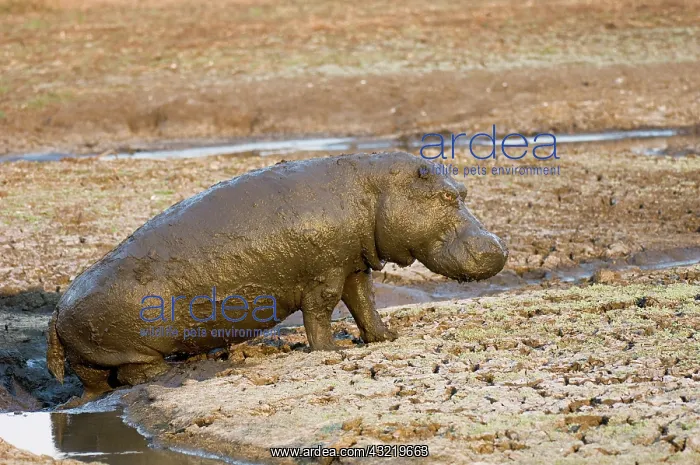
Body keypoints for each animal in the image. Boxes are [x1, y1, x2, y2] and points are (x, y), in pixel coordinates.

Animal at [47, 151, 507, 399]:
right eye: (446, 196)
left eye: (463, 191)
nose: (498, 246)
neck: (374, 190)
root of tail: (55, 312)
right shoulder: (325, 273)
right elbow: (321, 312)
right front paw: (330, 350)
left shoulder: (353, 265)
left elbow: (364, 305)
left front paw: (387, 338)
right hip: (133, 348)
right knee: (133, 373)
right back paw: (173, 374)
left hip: (89, 356)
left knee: (94, 384)